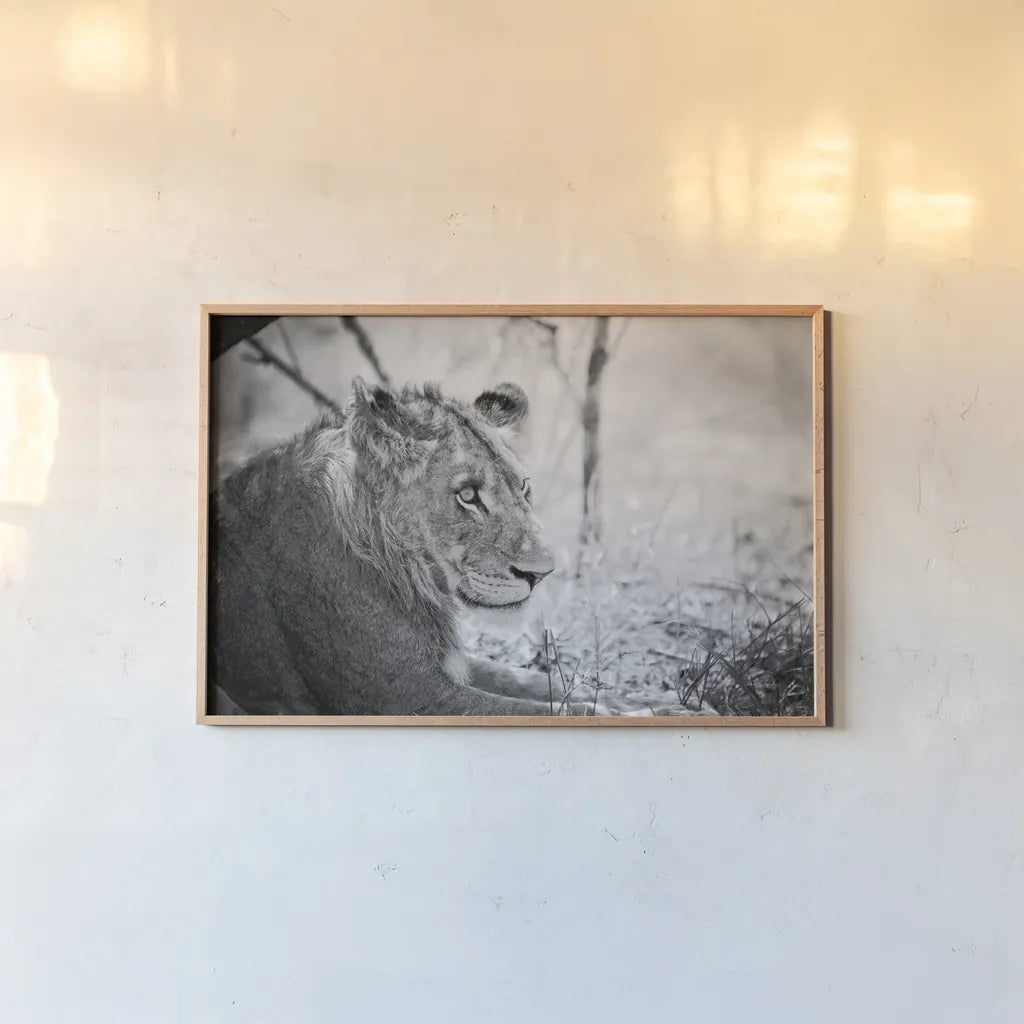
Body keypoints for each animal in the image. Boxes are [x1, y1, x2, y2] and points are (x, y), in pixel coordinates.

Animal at [209, 376, 612, 716]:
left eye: (524, 487)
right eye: (468, 495)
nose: (541, 573)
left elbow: (517, 677)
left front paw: (600, 694)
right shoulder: (404, 694)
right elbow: (526, 709)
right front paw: (598, 710)